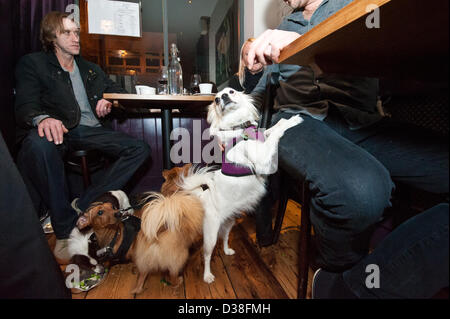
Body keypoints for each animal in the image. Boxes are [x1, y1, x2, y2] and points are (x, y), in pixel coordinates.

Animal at [179, 87, 302, 282]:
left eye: (231, 91)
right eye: (215, 100)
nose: (222, 96)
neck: (240, 127)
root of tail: (203, 195)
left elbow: (272, 130)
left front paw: (285, 120)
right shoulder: (263, 161)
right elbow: (275, 134)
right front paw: (294, 120)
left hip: (229, 222)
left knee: (225, 238)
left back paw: (227, 250)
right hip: (210, 234)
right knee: (207, 255)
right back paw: (207, 276)